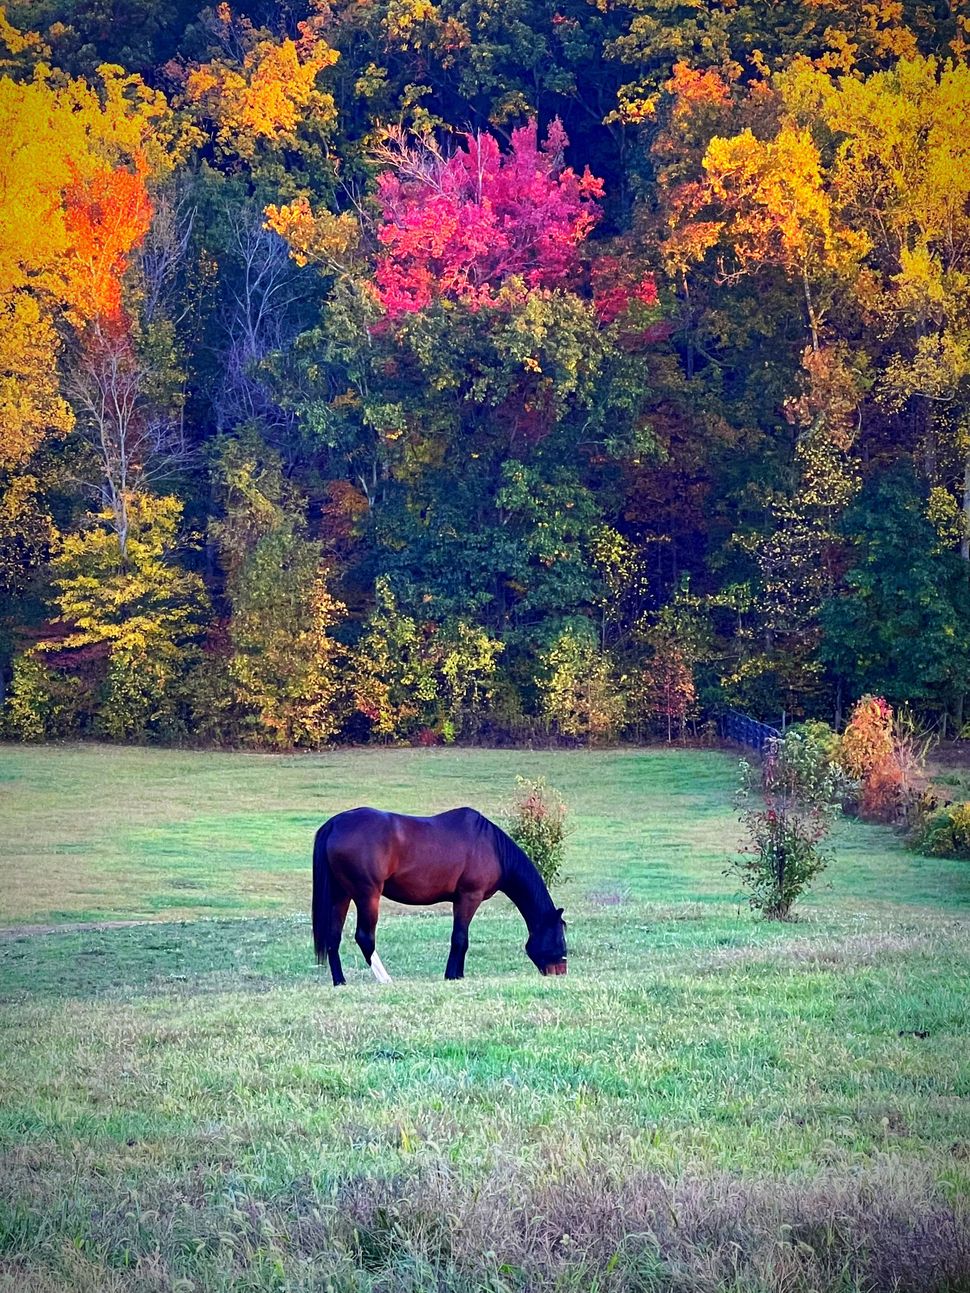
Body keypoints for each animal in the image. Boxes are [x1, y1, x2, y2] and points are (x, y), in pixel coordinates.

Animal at [311, 806, 567, 985]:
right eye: (559, 938)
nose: (561, 972)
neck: (492, 847)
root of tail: (334, 824)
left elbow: (462, 939)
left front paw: (458, 975)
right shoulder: (469, 897)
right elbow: (460, 938)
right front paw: (452, 975)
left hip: (341, 895)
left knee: (333, 938)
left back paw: (340, 981)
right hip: (367, 895)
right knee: (364, 937)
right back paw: (385, 979)